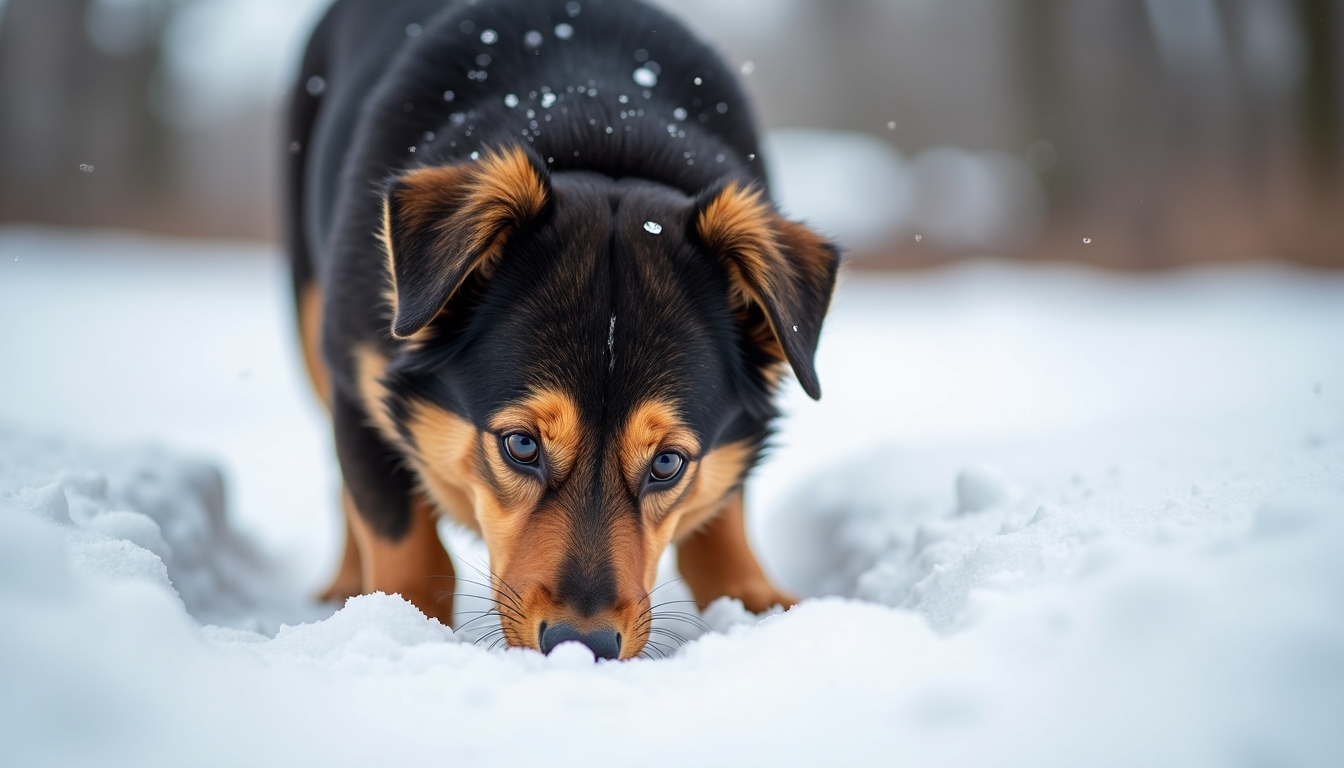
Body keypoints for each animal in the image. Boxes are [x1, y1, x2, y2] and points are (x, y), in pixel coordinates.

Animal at [284, 0, 833, 661]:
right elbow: (400, 538)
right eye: (521, 445)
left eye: (668, 463)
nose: (583, 645)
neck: (603, 123)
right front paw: (405, 626)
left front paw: (757, 604)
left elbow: (723, 508)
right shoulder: (357, 380)